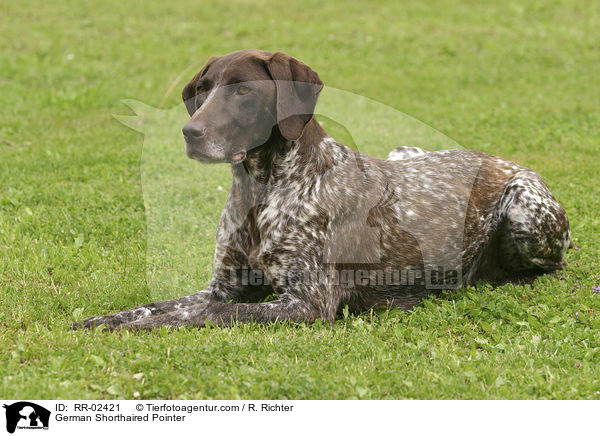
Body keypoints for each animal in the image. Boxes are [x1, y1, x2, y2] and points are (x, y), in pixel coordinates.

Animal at [76, 50, 572, 330]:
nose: (190, 132)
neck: (260, 191)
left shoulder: (306, 303)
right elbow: (156, 306)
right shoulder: (225, 287)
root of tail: (503, 160)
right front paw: (106, 319)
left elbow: (202, 315)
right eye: (203, 88)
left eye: (242, 90)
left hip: (524, 204)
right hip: (403, 149)